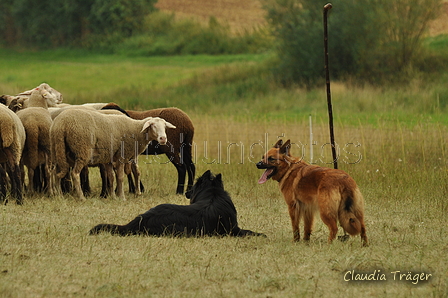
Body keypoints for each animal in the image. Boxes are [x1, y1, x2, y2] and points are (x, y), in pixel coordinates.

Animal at [90, 170, 266, 237]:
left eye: (192, 187)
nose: (187, 193)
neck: (213, 194)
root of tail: (139, 220)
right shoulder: (234, 230)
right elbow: (250, 231)